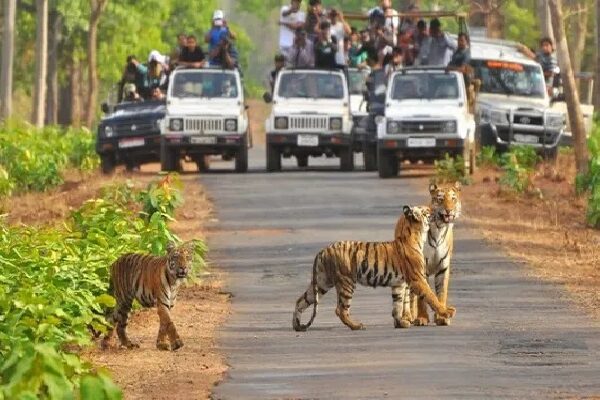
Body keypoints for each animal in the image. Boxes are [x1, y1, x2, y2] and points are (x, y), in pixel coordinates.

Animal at [292, 206, 458, 332]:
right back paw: (357, 326)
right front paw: (446, 312)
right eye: (426, 210)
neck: (415, 235)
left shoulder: (399, 284)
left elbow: (398, 304)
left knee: (301, 300)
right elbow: (431, 296)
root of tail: (323, 250)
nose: (436, 210)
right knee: (341, 309)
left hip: (322, 282)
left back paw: (297, 325)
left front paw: (400, 323)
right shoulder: (418, 279)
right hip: (346, 282)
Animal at [404, 183, 464, 326]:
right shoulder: (422, 267)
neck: (440, 228)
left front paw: (442, 317)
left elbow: (441, 293)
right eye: (440, 199)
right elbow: (422, 296)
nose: (449, 210)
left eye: (453, 199)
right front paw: (422, 318)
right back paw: (410, 316)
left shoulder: (443, 267)